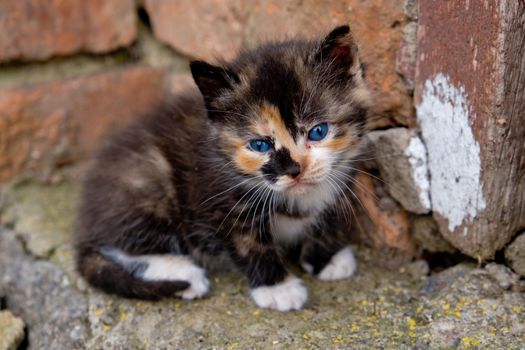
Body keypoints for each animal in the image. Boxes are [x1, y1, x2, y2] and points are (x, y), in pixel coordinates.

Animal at [73, 25, 370, 312]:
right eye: (260, 145)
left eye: (318, 131)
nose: (294, 170)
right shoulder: (217, 203)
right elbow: (249, 244)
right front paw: (278, 287)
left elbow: (326, 217)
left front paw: (326, 258)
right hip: (149, 177)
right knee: (122, 243)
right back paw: (185, 274)